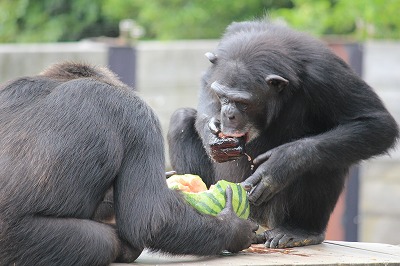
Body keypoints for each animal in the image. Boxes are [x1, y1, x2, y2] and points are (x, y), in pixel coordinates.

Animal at [167, 19, 398, 248]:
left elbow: (376, 123)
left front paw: (280, 163)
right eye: (222, 96)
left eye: (243, 103)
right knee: (181, 118)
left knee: (322, 157)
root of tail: (261, 225)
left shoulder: (326, 76)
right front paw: (212, 135)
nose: (228, 114)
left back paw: (300, 230)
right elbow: (207, 80)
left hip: (275, 213)